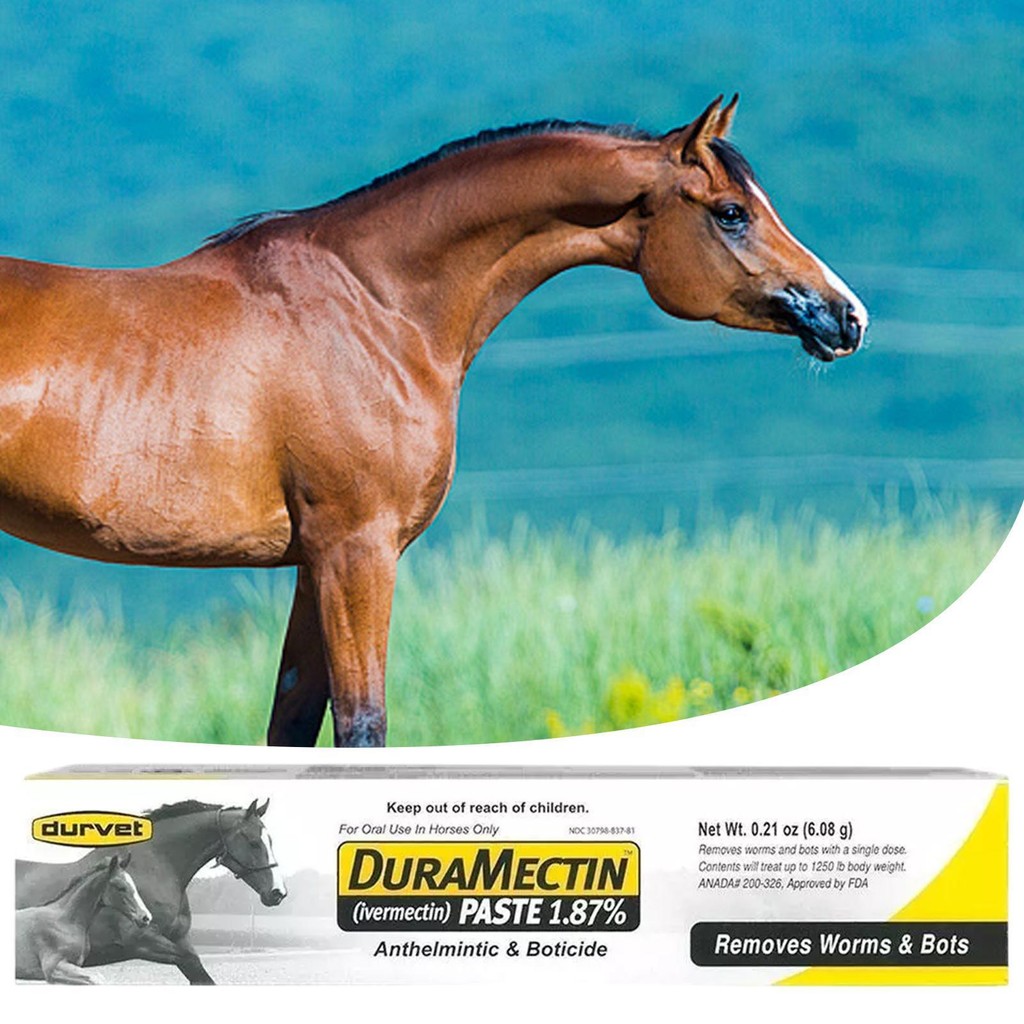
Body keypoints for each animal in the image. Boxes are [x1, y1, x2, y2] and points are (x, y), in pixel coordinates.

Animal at [0, 95, 867, 747]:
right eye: (731, 213)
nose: (846, 316)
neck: (378, 307)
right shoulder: (356, 551)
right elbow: (363, 726)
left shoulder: (316, 563)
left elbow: (294, 726)